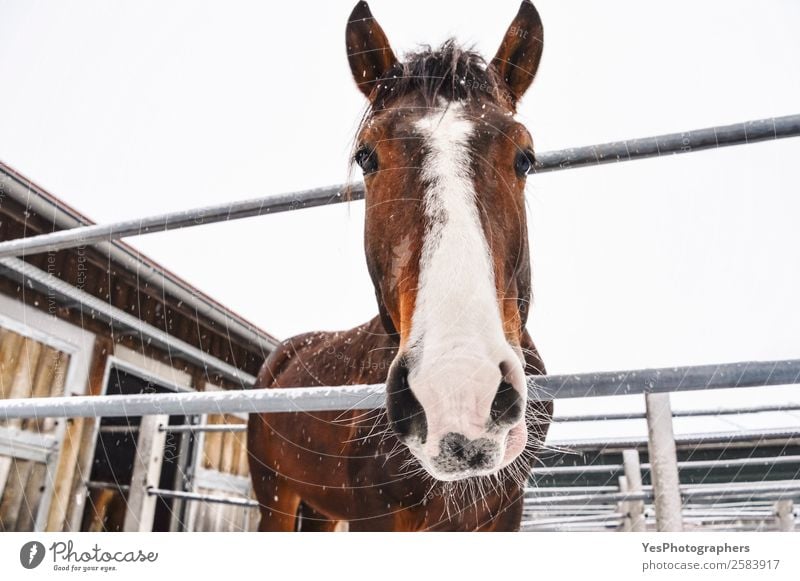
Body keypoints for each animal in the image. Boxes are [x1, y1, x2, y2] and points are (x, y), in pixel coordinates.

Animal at [247, 0, 552, 532]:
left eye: (526, 157)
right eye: (366, 157)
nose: (458, 392)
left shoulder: (506, 510)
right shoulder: (376, 514)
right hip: (277, 499)